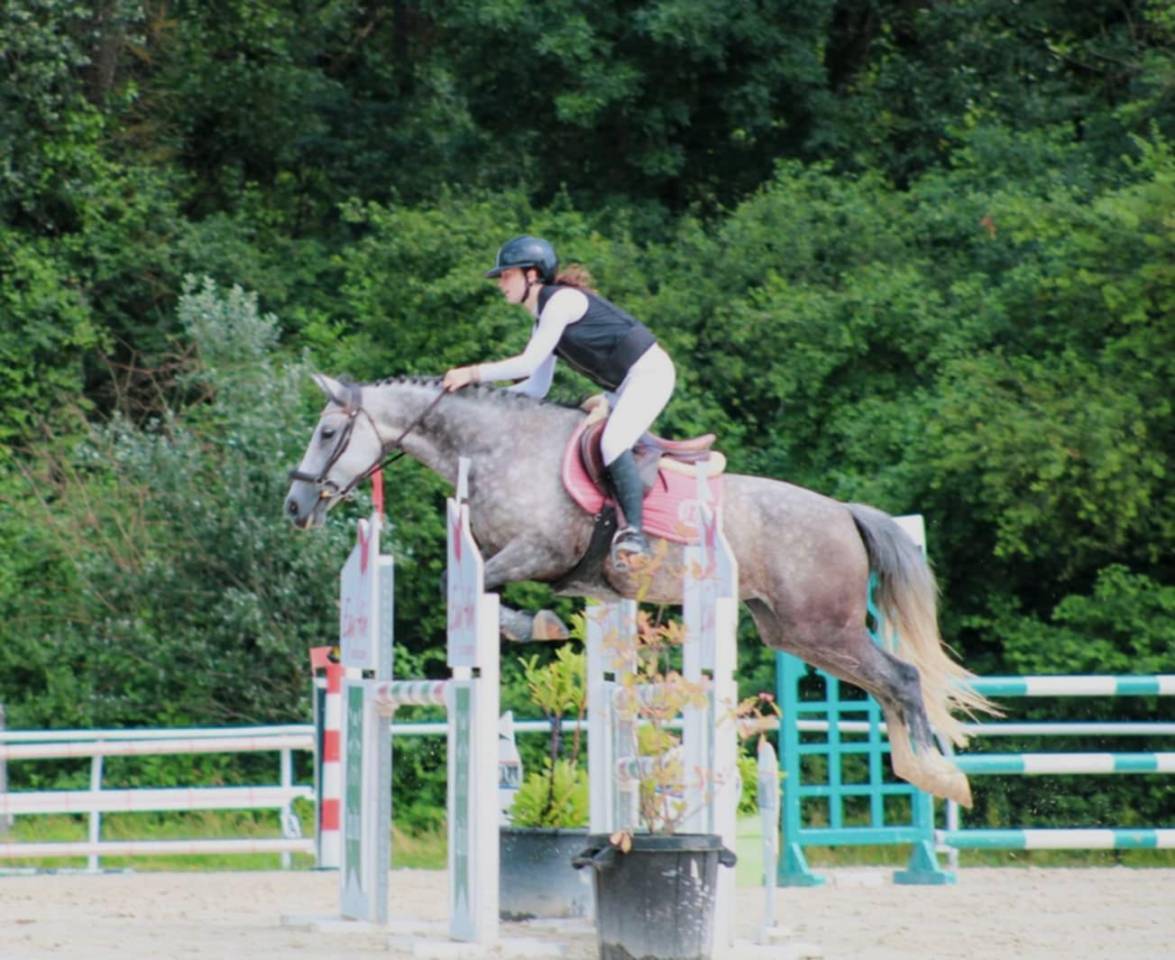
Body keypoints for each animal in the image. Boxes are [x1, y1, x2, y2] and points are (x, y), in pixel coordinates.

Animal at [285, 373, 993, 806]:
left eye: (327, 433)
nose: (295, 506)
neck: (496, 449)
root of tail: (844, 512)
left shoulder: (538, 553)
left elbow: (466, 584)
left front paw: (536, 625)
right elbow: (474, 589)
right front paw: (536, 625)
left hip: (825, 625)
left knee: (902, 677)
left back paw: (938, 774)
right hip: (796, 631)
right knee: (889, 683)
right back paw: (926, 771)